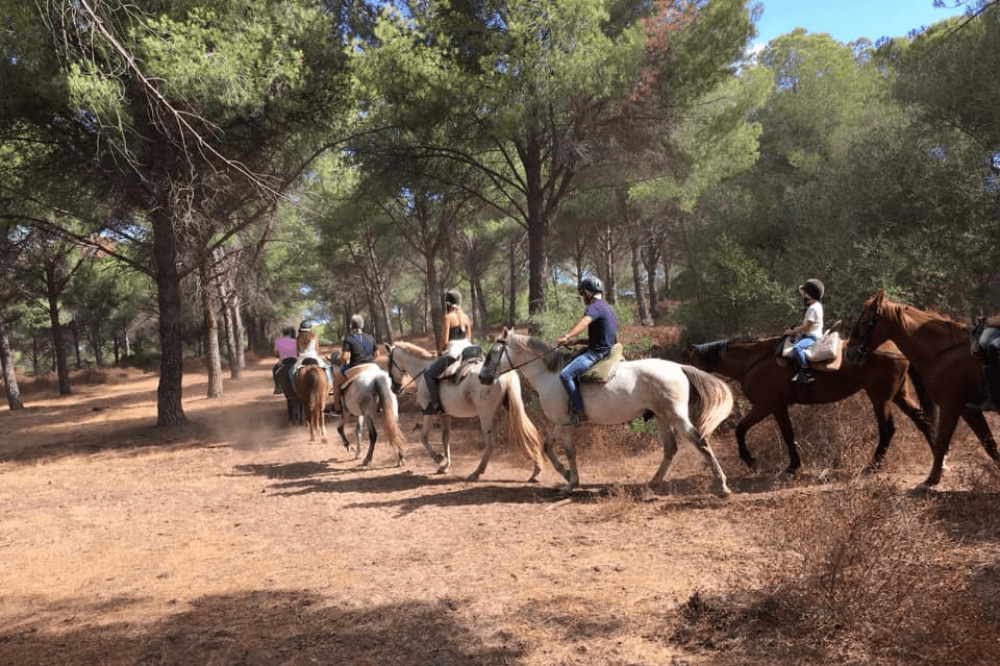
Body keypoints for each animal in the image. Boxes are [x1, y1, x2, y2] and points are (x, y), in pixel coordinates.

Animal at [385, 340, 545, 481]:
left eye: (388, 364)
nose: (394, 388)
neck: (422, 370)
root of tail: (503, 374)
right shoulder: (445, 414)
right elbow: (445, 439)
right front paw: (445, 466)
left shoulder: (428, 413)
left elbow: (423, 437)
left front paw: (438, 458)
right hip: (511, 408)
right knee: (526, 433)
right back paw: (536, 471)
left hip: (486, 415)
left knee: (491, 442)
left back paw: (477, 472)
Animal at [479, 327, 734, 496]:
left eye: (494, 351)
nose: (482, 377)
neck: (550, 375)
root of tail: (679, 367)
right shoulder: (560, 423)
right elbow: (547, 447)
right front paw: (565, 475)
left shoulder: (565, 425)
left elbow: (570, 452)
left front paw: (571, 482)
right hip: (662, 418)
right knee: (670, 449)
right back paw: (653, 483)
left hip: (677, 417)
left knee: (700, 442)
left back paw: (722, 485)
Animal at [684, 336, 937, 474]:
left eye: (688, 361)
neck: (754, 361)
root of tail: (897, 350)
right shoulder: (770, 407)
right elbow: (747, 429)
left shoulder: (770, 406)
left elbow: (779, 433)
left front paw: (782, 465)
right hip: (898, 395)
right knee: (922, 421)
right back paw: (938, 459)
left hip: (880, 397)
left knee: (887, 429)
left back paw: (872, 466)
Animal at [848, 288, 1000, 489]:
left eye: (866, 321)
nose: (849, 352)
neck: (941, 354)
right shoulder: (968, 409)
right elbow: (989, 443)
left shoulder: (950, 406)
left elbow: (942, 441)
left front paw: (932, 479)